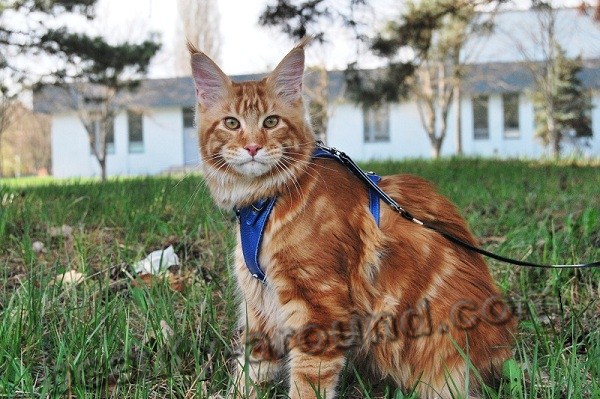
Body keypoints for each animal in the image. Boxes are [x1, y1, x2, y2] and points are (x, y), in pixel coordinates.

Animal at [189, 38, 516, 399]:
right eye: (232, 123)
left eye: (271, 122)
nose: (252, 147)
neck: (265, 202)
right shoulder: (260, 308)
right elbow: (250, 370)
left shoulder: (319, 305)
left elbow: (306, 382)